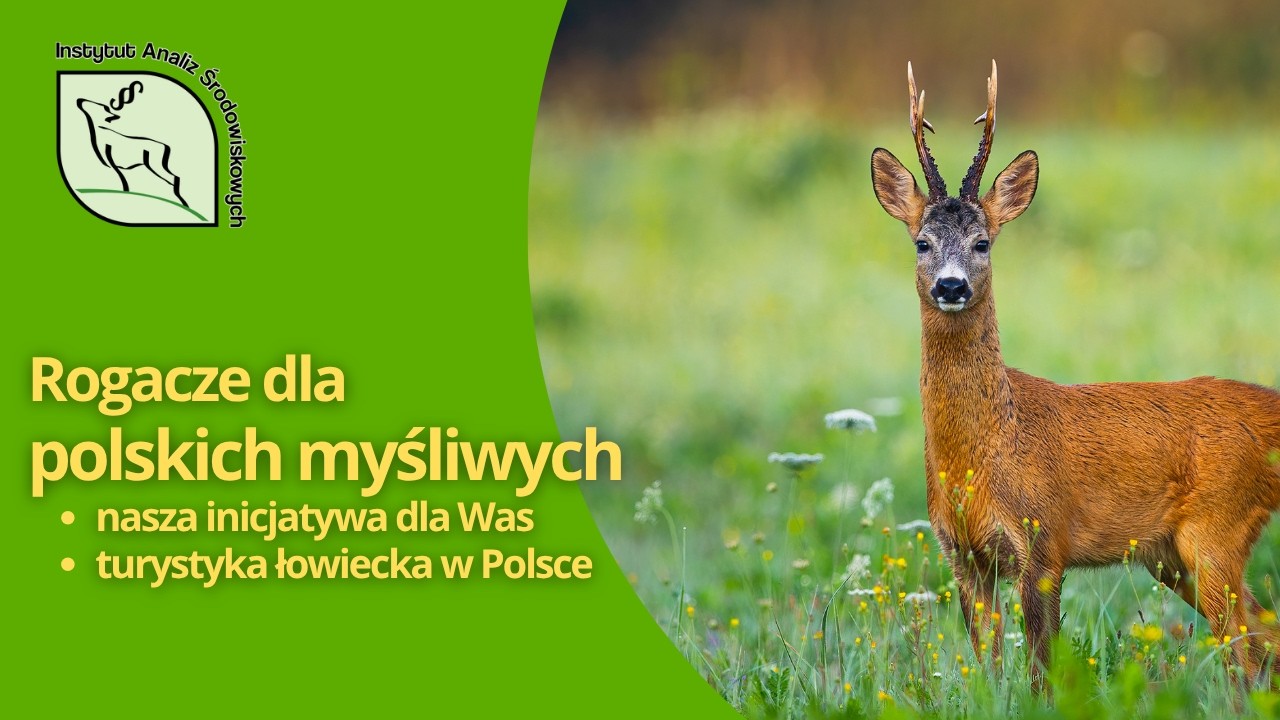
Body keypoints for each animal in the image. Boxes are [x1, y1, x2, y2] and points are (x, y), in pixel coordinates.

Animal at [869, 60, 1280, 690]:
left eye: (982, 241)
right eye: (922, 242)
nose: (951, 285)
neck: (984, 455)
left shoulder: (1044, 539)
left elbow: (1041, 667)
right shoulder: (961, 554)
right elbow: (988, 668)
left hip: (1219, 527)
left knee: (1246, 652)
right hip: (1170, 554)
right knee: (1263, 632)